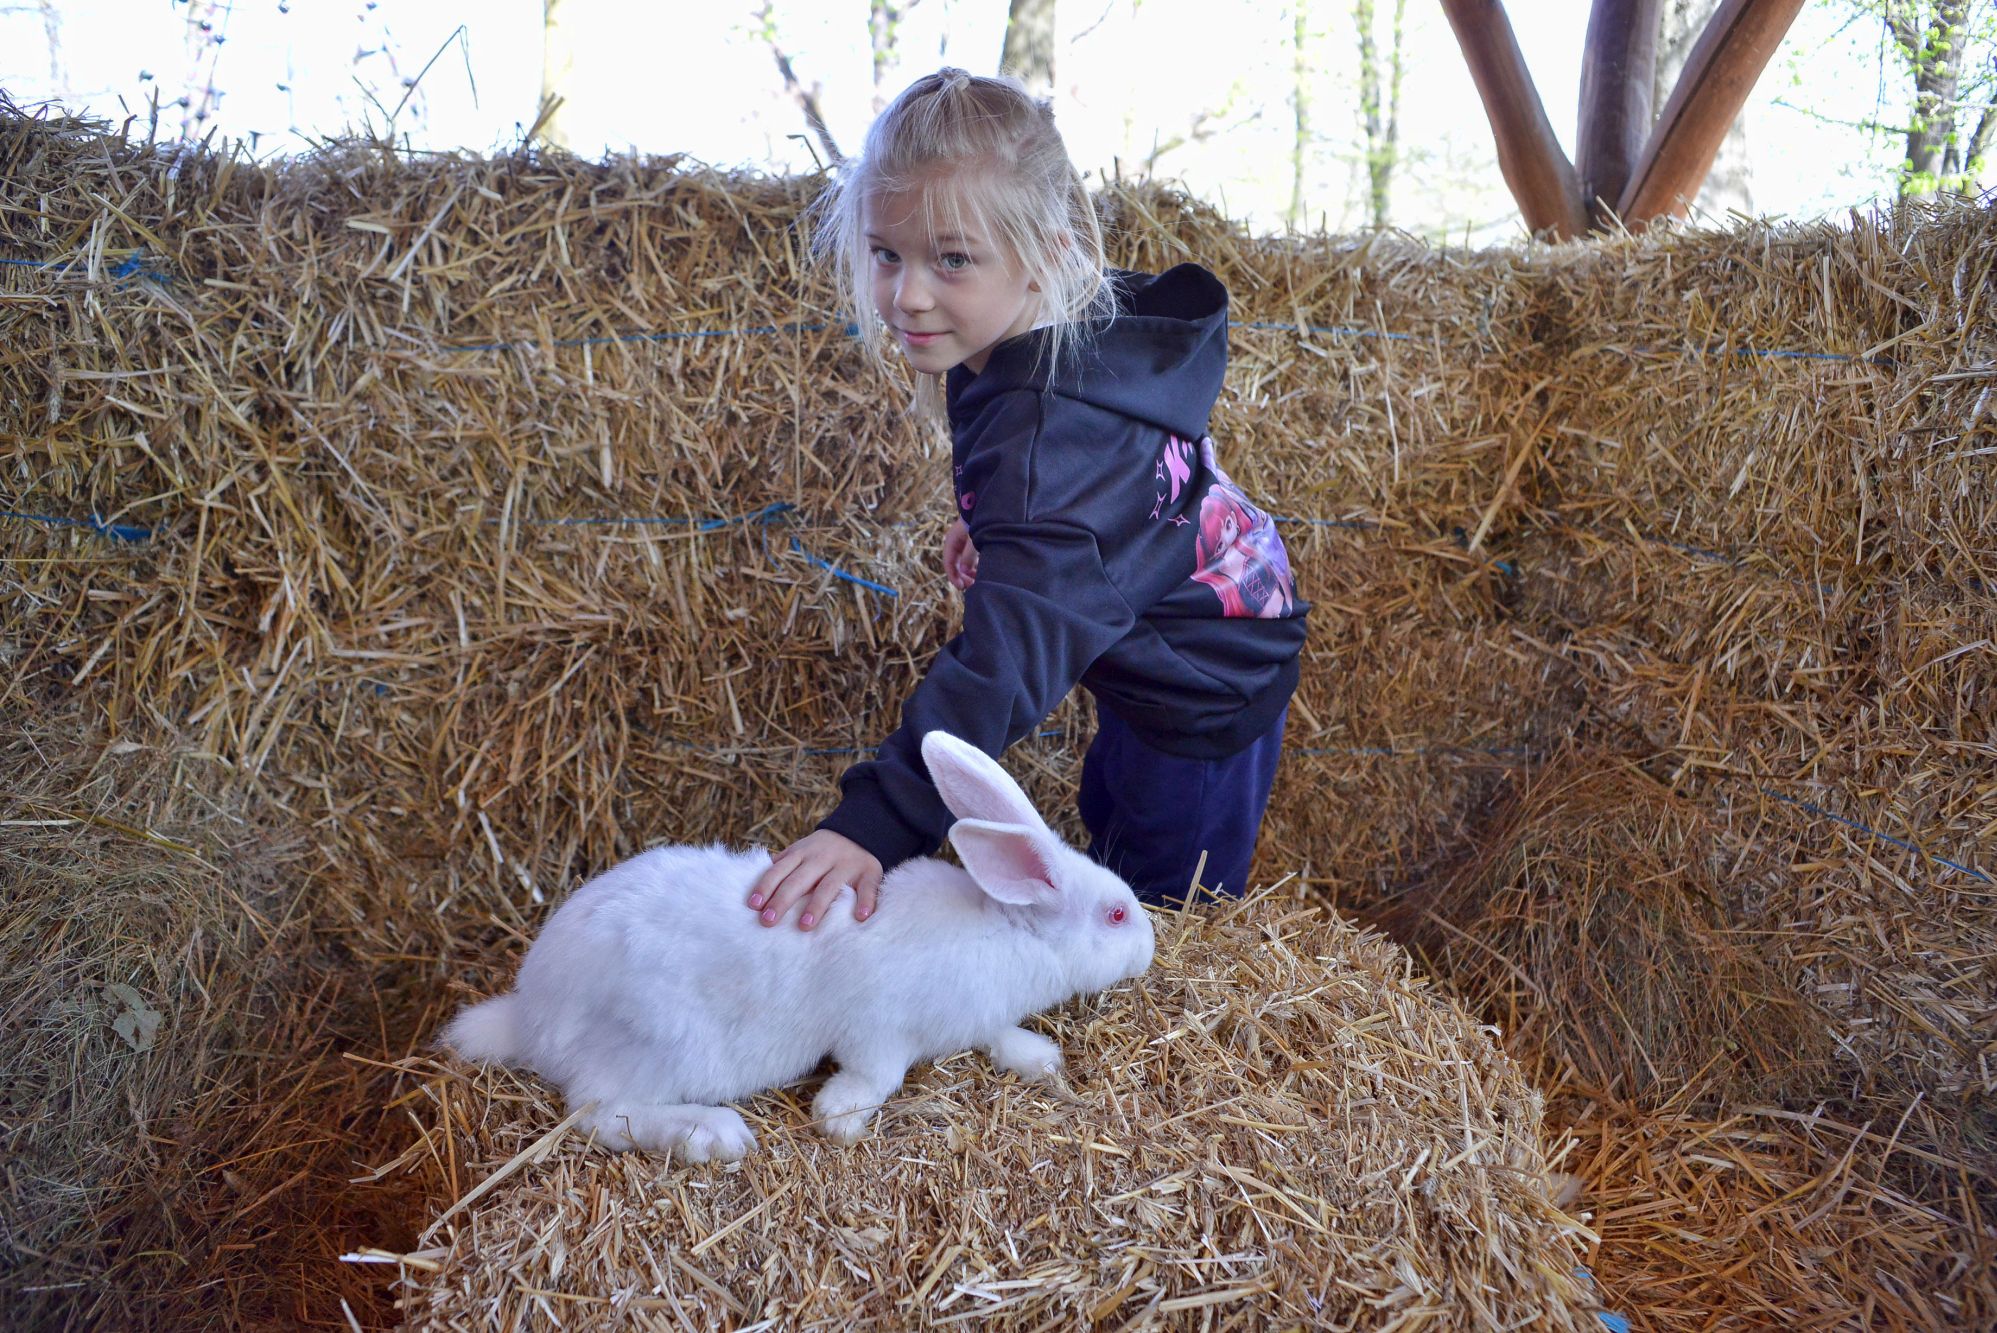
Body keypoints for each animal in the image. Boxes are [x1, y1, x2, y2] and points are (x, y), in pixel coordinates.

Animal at [440, 730, 1156, 1163]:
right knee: (601, 1113)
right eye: (1116, 914)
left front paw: (1040, 1057)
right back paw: (713, 1134)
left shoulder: (973, 1017)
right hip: (655, 1049)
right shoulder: (877, 1030)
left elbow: (998, 1036)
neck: (1003, 929)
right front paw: (838, 1117)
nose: (1150, 946)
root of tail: (531, 1014)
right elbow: (879, 1075)